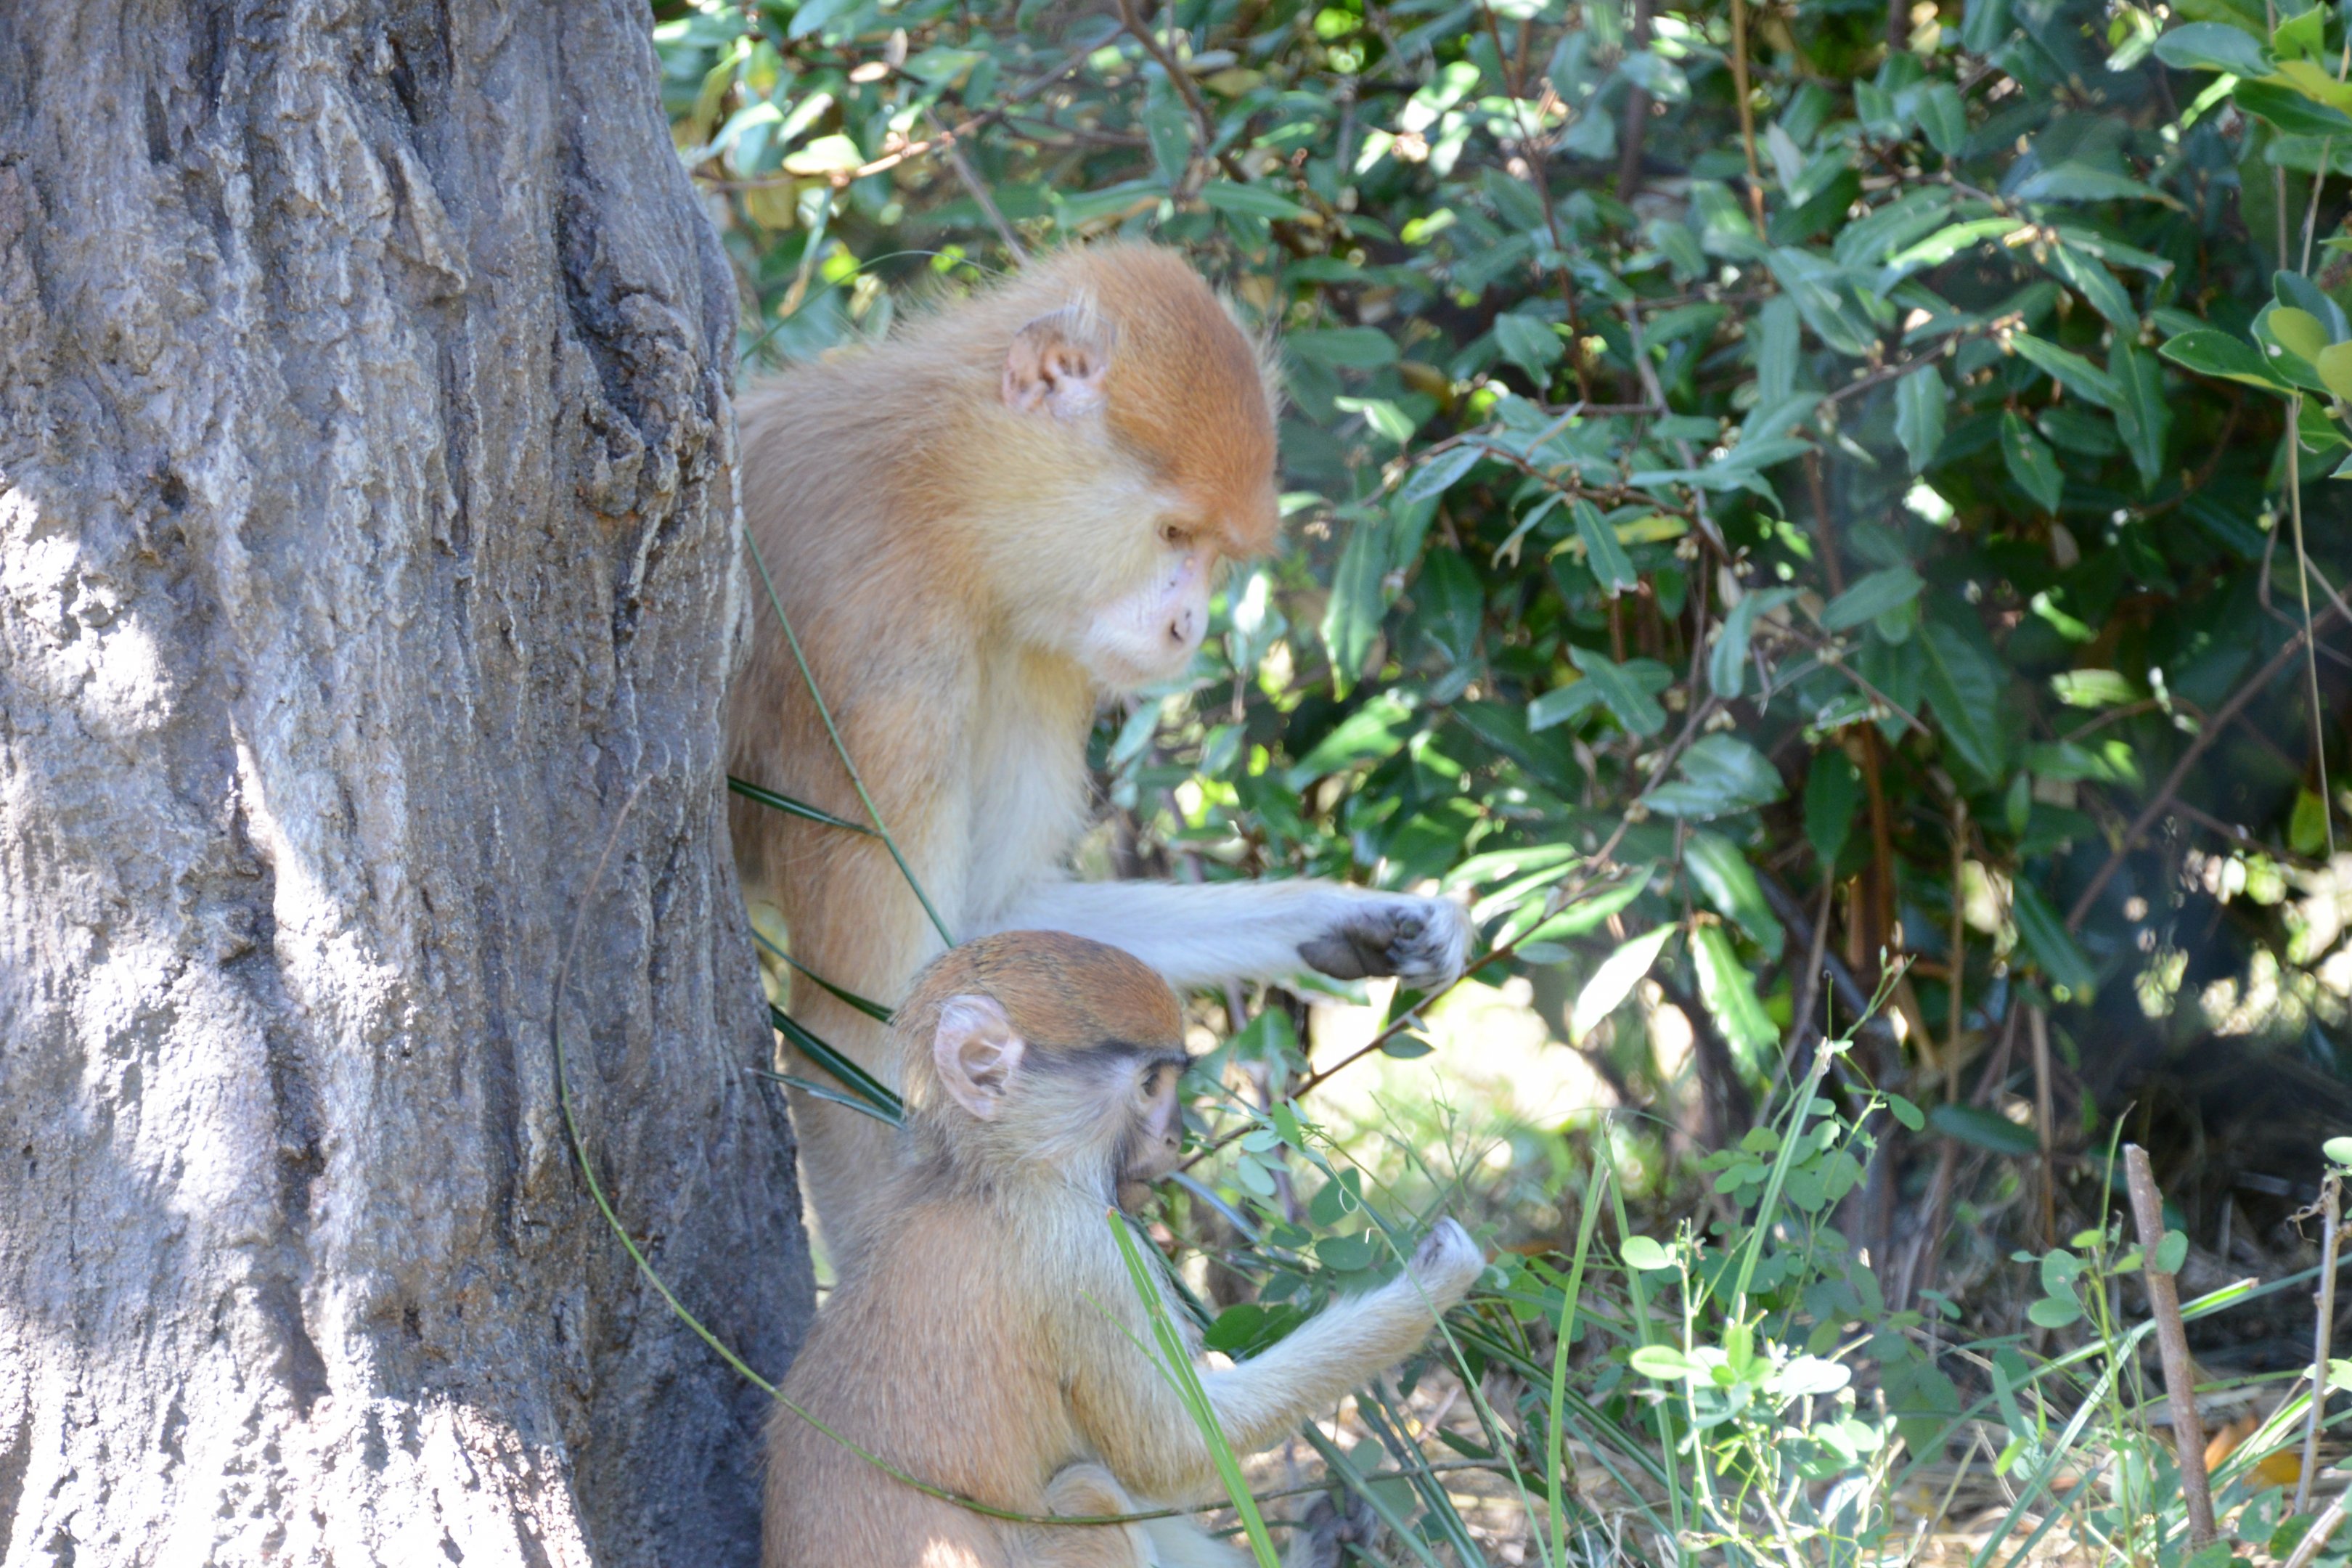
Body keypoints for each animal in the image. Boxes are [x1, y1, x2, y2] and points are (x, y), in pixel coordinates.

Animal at [729, 242, 1473, 1270]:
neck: (942, 487)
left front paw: (1355, 918)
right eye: (1172, 533)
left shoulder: (1031, 647)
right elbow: (855, 1035)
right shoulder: (879, 647)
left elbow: (990, 932)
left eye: (1216, 555)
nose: (1186, 625)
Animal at [763, 931, 1486, 1568]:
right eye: (1147, 1087)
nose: (1176, 1137)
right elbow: (1173, 1451)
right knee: (1092, 1491)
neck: (996, 1175)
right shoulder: (1083, 1251)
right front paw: (1432, 1287)